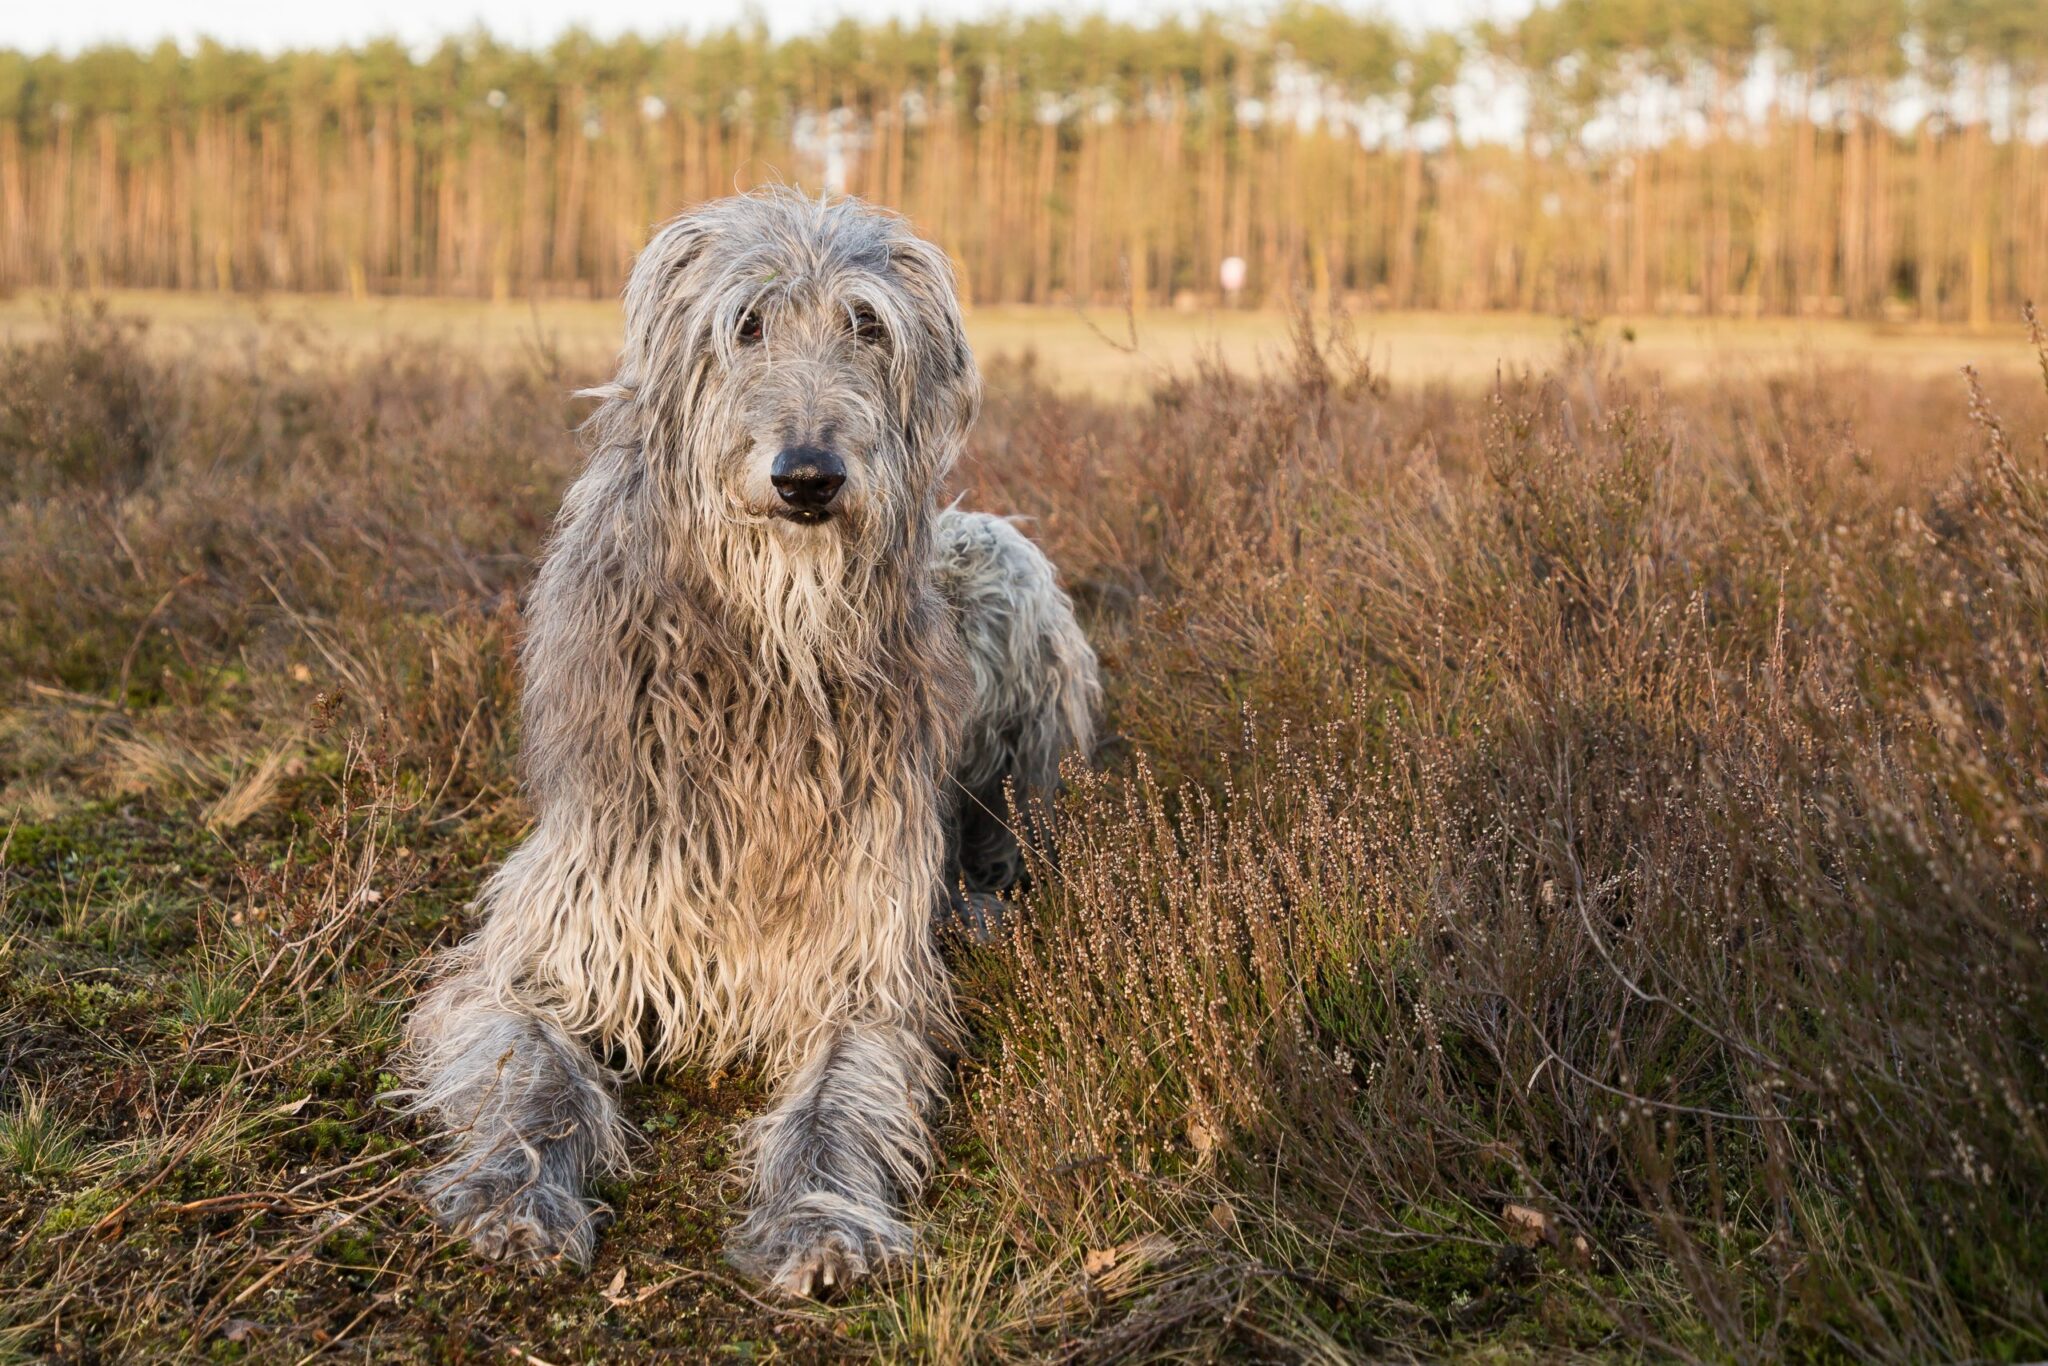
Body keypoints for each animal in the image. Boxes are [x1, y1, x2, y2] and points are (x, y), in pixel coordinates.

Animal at [403, 189, 1105, 1294]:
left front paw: (816, 1215)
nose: (808, 477)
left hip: (1004, 565)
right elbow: (532, 1072)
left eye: (867, 326)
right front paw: (517, 1197)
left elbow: (838, 1099)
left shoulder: (863, 966)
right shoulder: (554, 938)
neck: (771, 645)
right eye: (745, 325)